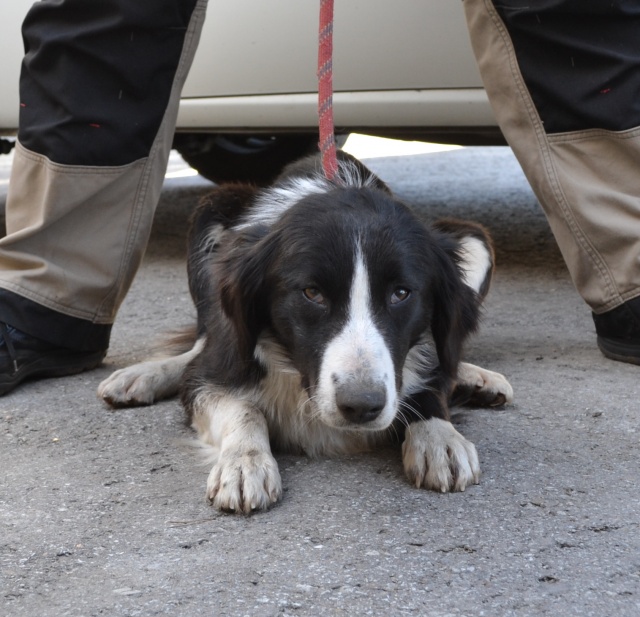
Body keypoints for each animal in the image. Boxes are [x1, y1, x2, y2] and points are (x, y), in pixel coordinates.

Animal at [98, 152, 513, 513]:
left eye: (401, 293)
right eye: (312, 293)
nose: (361, 406)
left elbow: (430, 386)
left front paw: (440, 438)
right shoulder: (215, 369)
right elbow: (239, 404)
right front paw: (244, 463)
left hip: (473, 237)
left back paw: (476, 378)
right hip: (212, 209)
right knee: (198, 344)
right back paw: (144, 374)